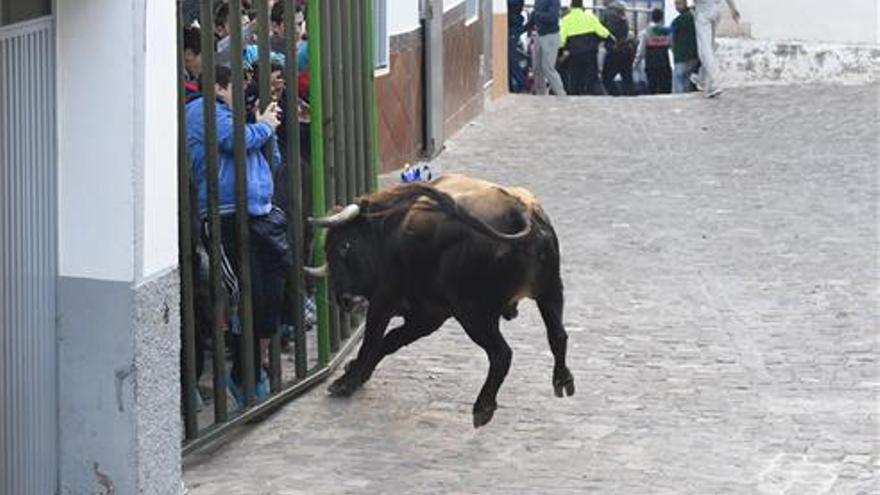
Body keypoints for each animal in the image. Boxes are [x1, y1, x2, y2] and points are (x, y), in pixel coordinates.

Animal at [306, 173, 576, 426]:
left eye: (344, 245)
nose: (345, 300)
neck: (391, 229)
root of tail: (518, 211)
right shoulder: (429, 316)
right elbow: (391, 340)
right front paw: (355, 373)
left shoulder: (386, 300)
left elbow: (372, 341)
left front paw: (345, 382)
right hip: (550, 292)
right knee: (558, 335)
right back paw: (562, 379)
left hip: (474, 314)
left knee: (502, 353)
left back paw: (483, 407)